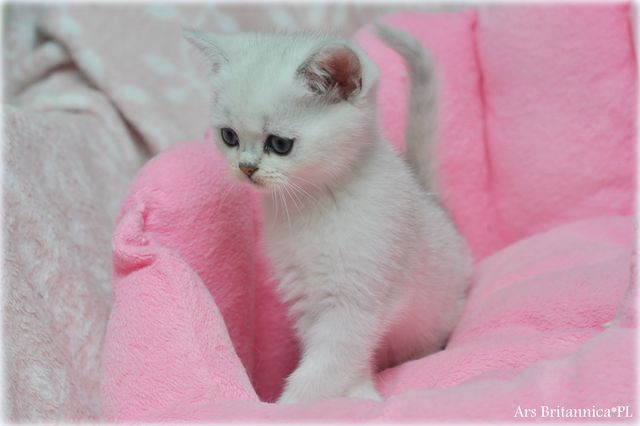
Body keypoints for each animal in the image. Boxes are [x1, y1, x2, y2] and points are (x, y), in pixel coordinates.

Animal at [184, 25, 471, 404]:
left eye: (279, 144)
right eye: (229, 136)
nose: (246, 168)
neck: (311, 204)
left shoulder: (356, 300)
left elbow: (327, 366)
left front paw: (290, 406)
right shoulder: (306, 297)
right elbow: (335, 360)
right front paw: (359, 392)